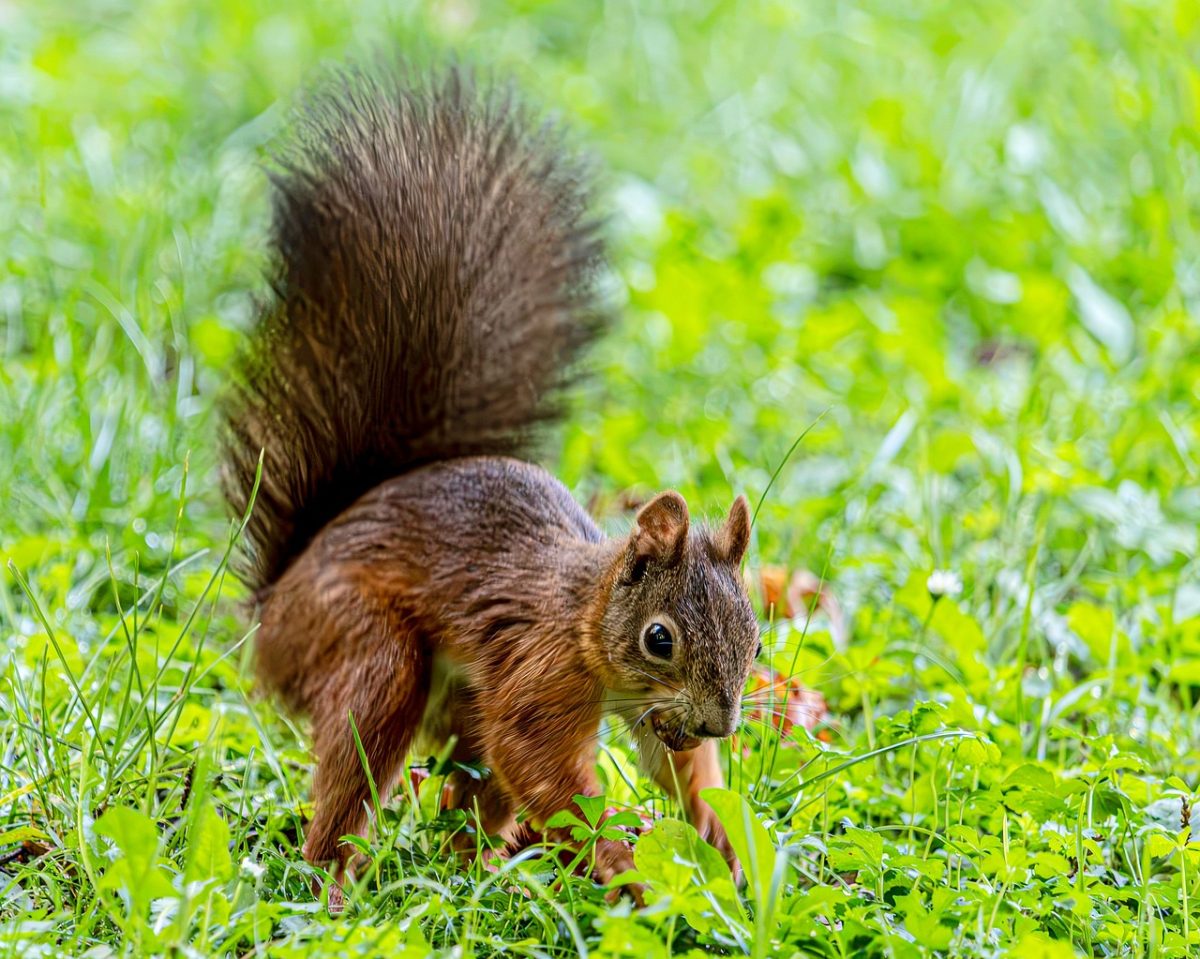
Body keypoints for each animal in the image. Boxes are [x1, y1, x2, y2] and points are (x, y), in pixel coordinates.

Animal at [221, 63, 761, 904]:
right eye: (659, 637)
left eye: (755, 634)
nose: (720, 723)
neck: (587, 618)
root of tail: (274, 607)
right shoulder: (540, 668)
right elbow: (538, 760)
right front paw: (623, 867)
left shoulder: (649, 713)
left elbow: (677, 770)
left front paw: (718, 840)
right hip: (365, 647)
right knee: (362, 758)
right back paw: (336, 881)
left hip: (460, 703)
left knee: (472, 791)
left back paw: (482, 865)